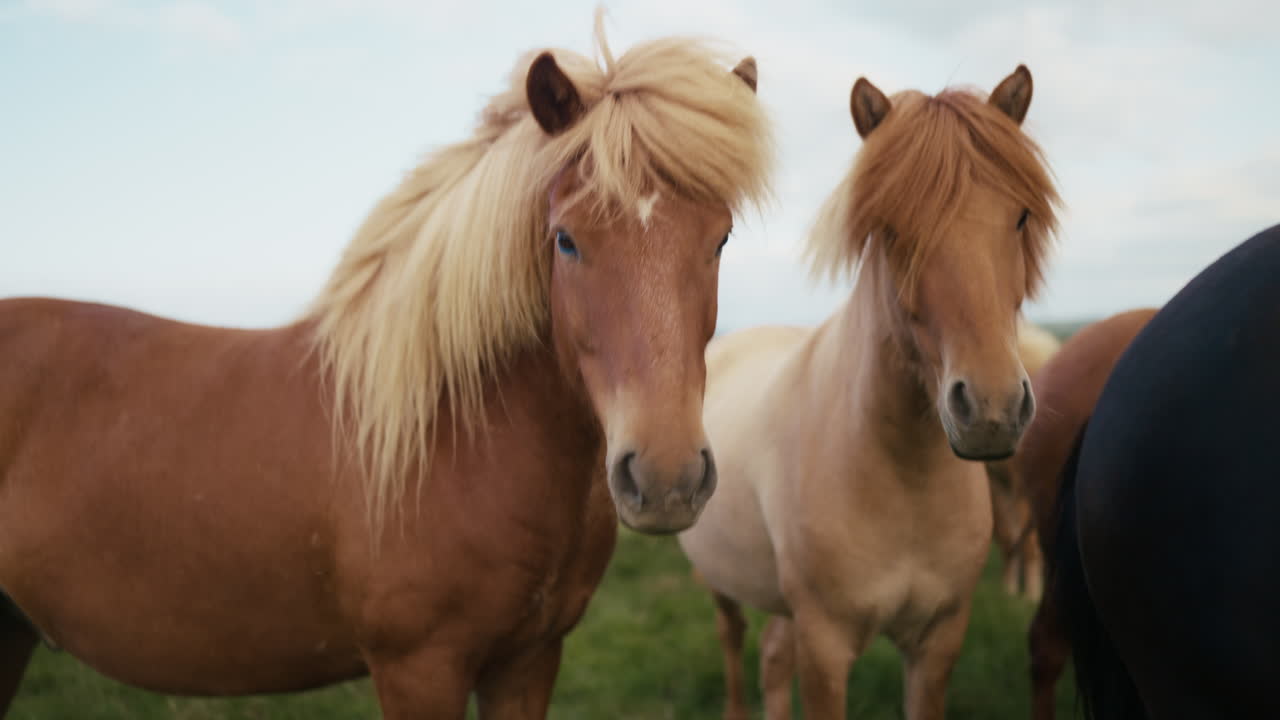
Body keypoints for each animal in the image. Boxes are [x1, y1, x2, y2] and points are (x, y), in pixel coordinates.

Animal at [0, 18, 773, 718]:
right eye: (566, 240)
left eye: (720, 238)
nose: (667, 478)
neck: (450, 438)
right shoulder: (418, 669)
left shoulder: (528, 660)